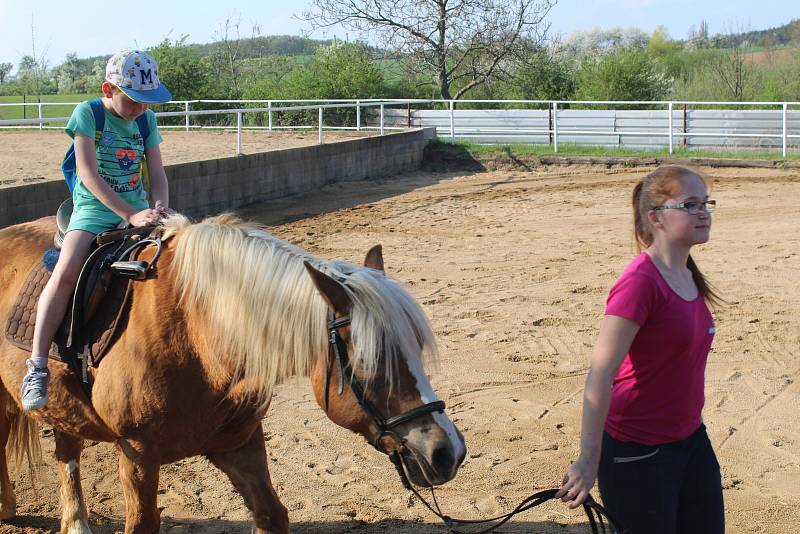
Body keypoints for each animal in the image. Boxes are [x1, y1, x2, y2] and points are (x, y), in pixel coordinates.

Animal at [0, 214, 462, 534]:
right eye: (370, 362)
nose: (449, 451)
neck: (197, 335)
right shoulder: (136, 452)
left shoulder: (239, 443)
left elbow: (272, 513)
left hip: (64, 407)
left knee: (67, 450)